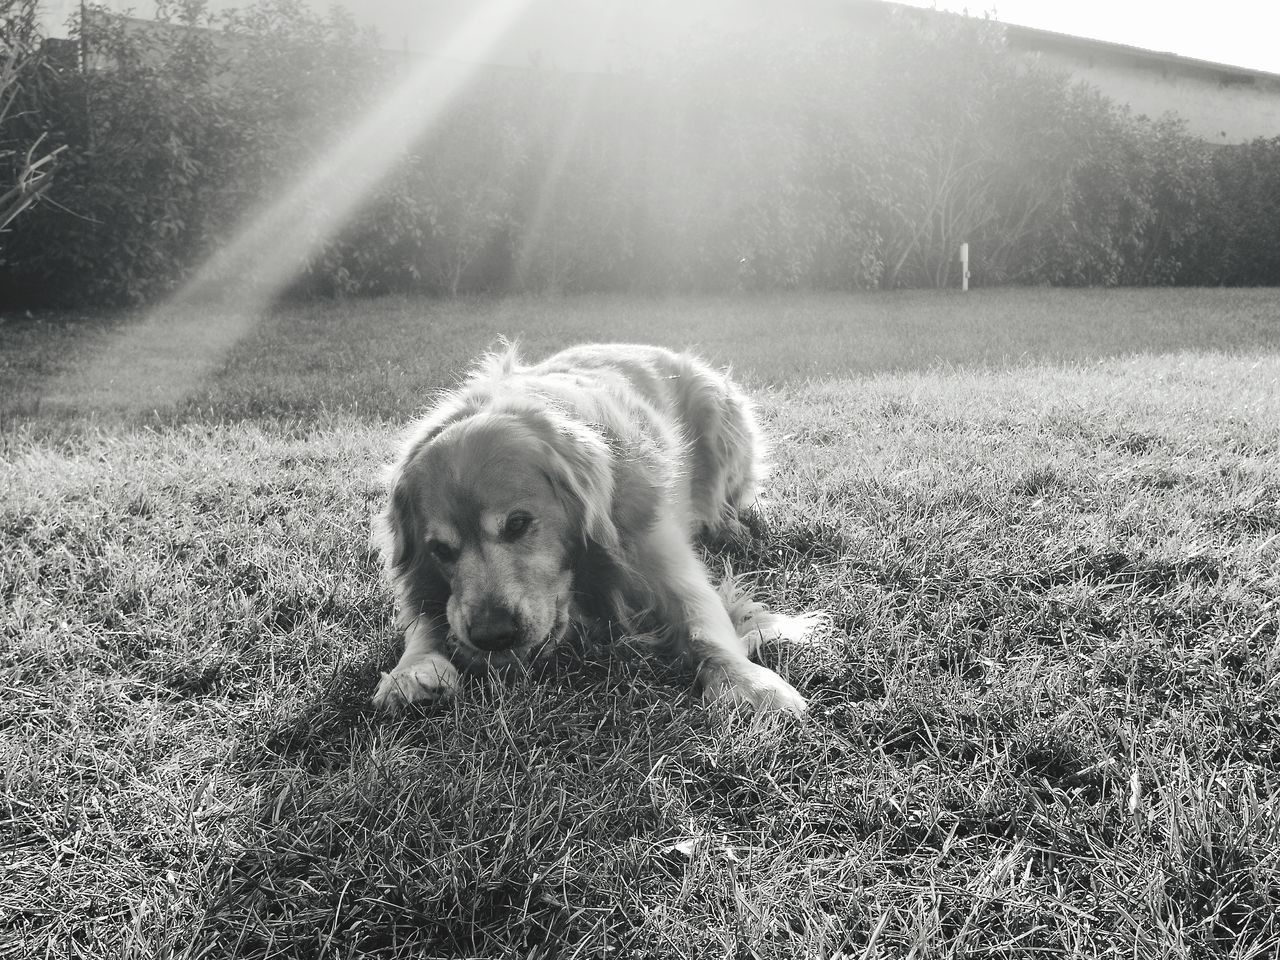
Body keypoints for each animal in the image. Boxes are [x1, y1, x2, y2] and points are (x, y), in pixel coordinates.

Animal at [371, 343, 808, 716]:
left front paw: (748, 681)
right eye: (440, 550)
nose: (492, 635)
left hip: (720, 416)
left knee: (733, 499)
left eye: (518, 524)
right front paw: (412, 668)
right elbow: (425, 617)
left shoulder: (659, 555)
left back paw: (733, 527)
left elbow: (703, 622)